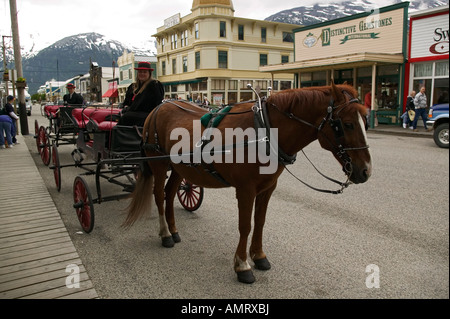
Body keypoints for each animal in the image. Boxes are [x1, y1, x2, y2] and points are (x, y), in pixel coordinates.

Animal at [124, 83, 372, 284]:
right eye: (347, 124)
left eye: (365, 122)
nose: (366, 171)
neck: (264, 131)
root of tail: (158, 108)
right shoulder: (245, 189)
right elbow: (245, 226)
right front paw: (242, 265)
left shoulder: (267, 188)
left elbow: (260, 222)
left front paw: (259, 256)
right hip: (158, 164)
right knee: (159, 195)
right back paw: (165, 234)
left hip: (179, 168)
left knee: (170, 192)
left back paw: (174, 230)